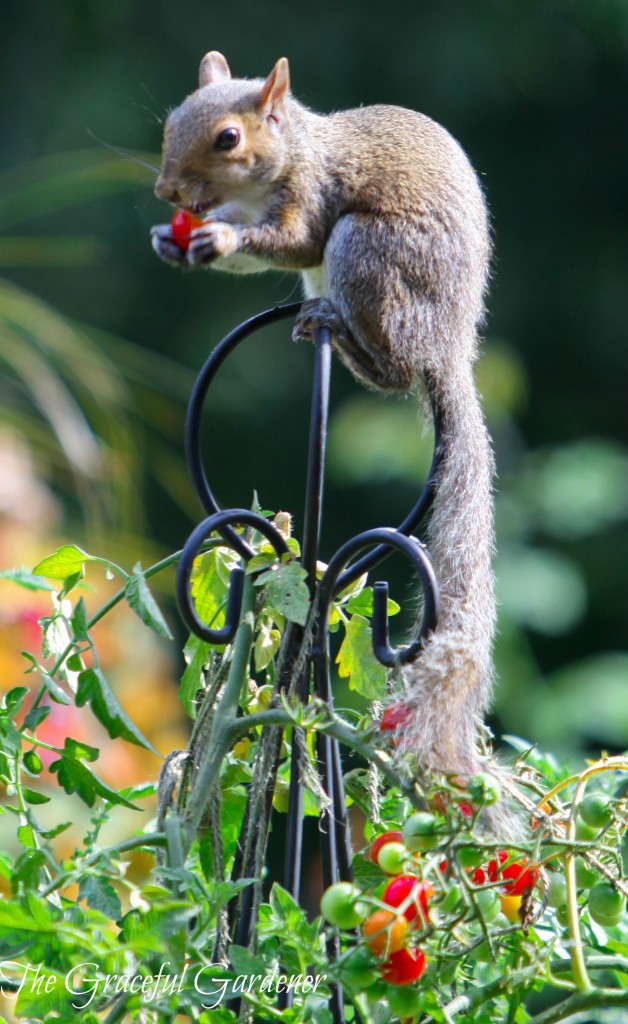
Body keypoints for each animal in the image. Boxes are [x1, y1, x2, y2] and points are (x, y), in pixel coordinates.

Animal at [150, 49, 493, 798]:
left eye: (228, 138)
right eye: (169, 122)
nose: (167, 192)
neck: (293, 152)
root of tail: (450, 343)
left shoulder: (312, 199)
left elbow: (292, 239)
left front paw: (221, 235)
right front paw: (173, 240)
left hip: (368, 253)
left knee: (395, 369)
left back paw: (344, 332)